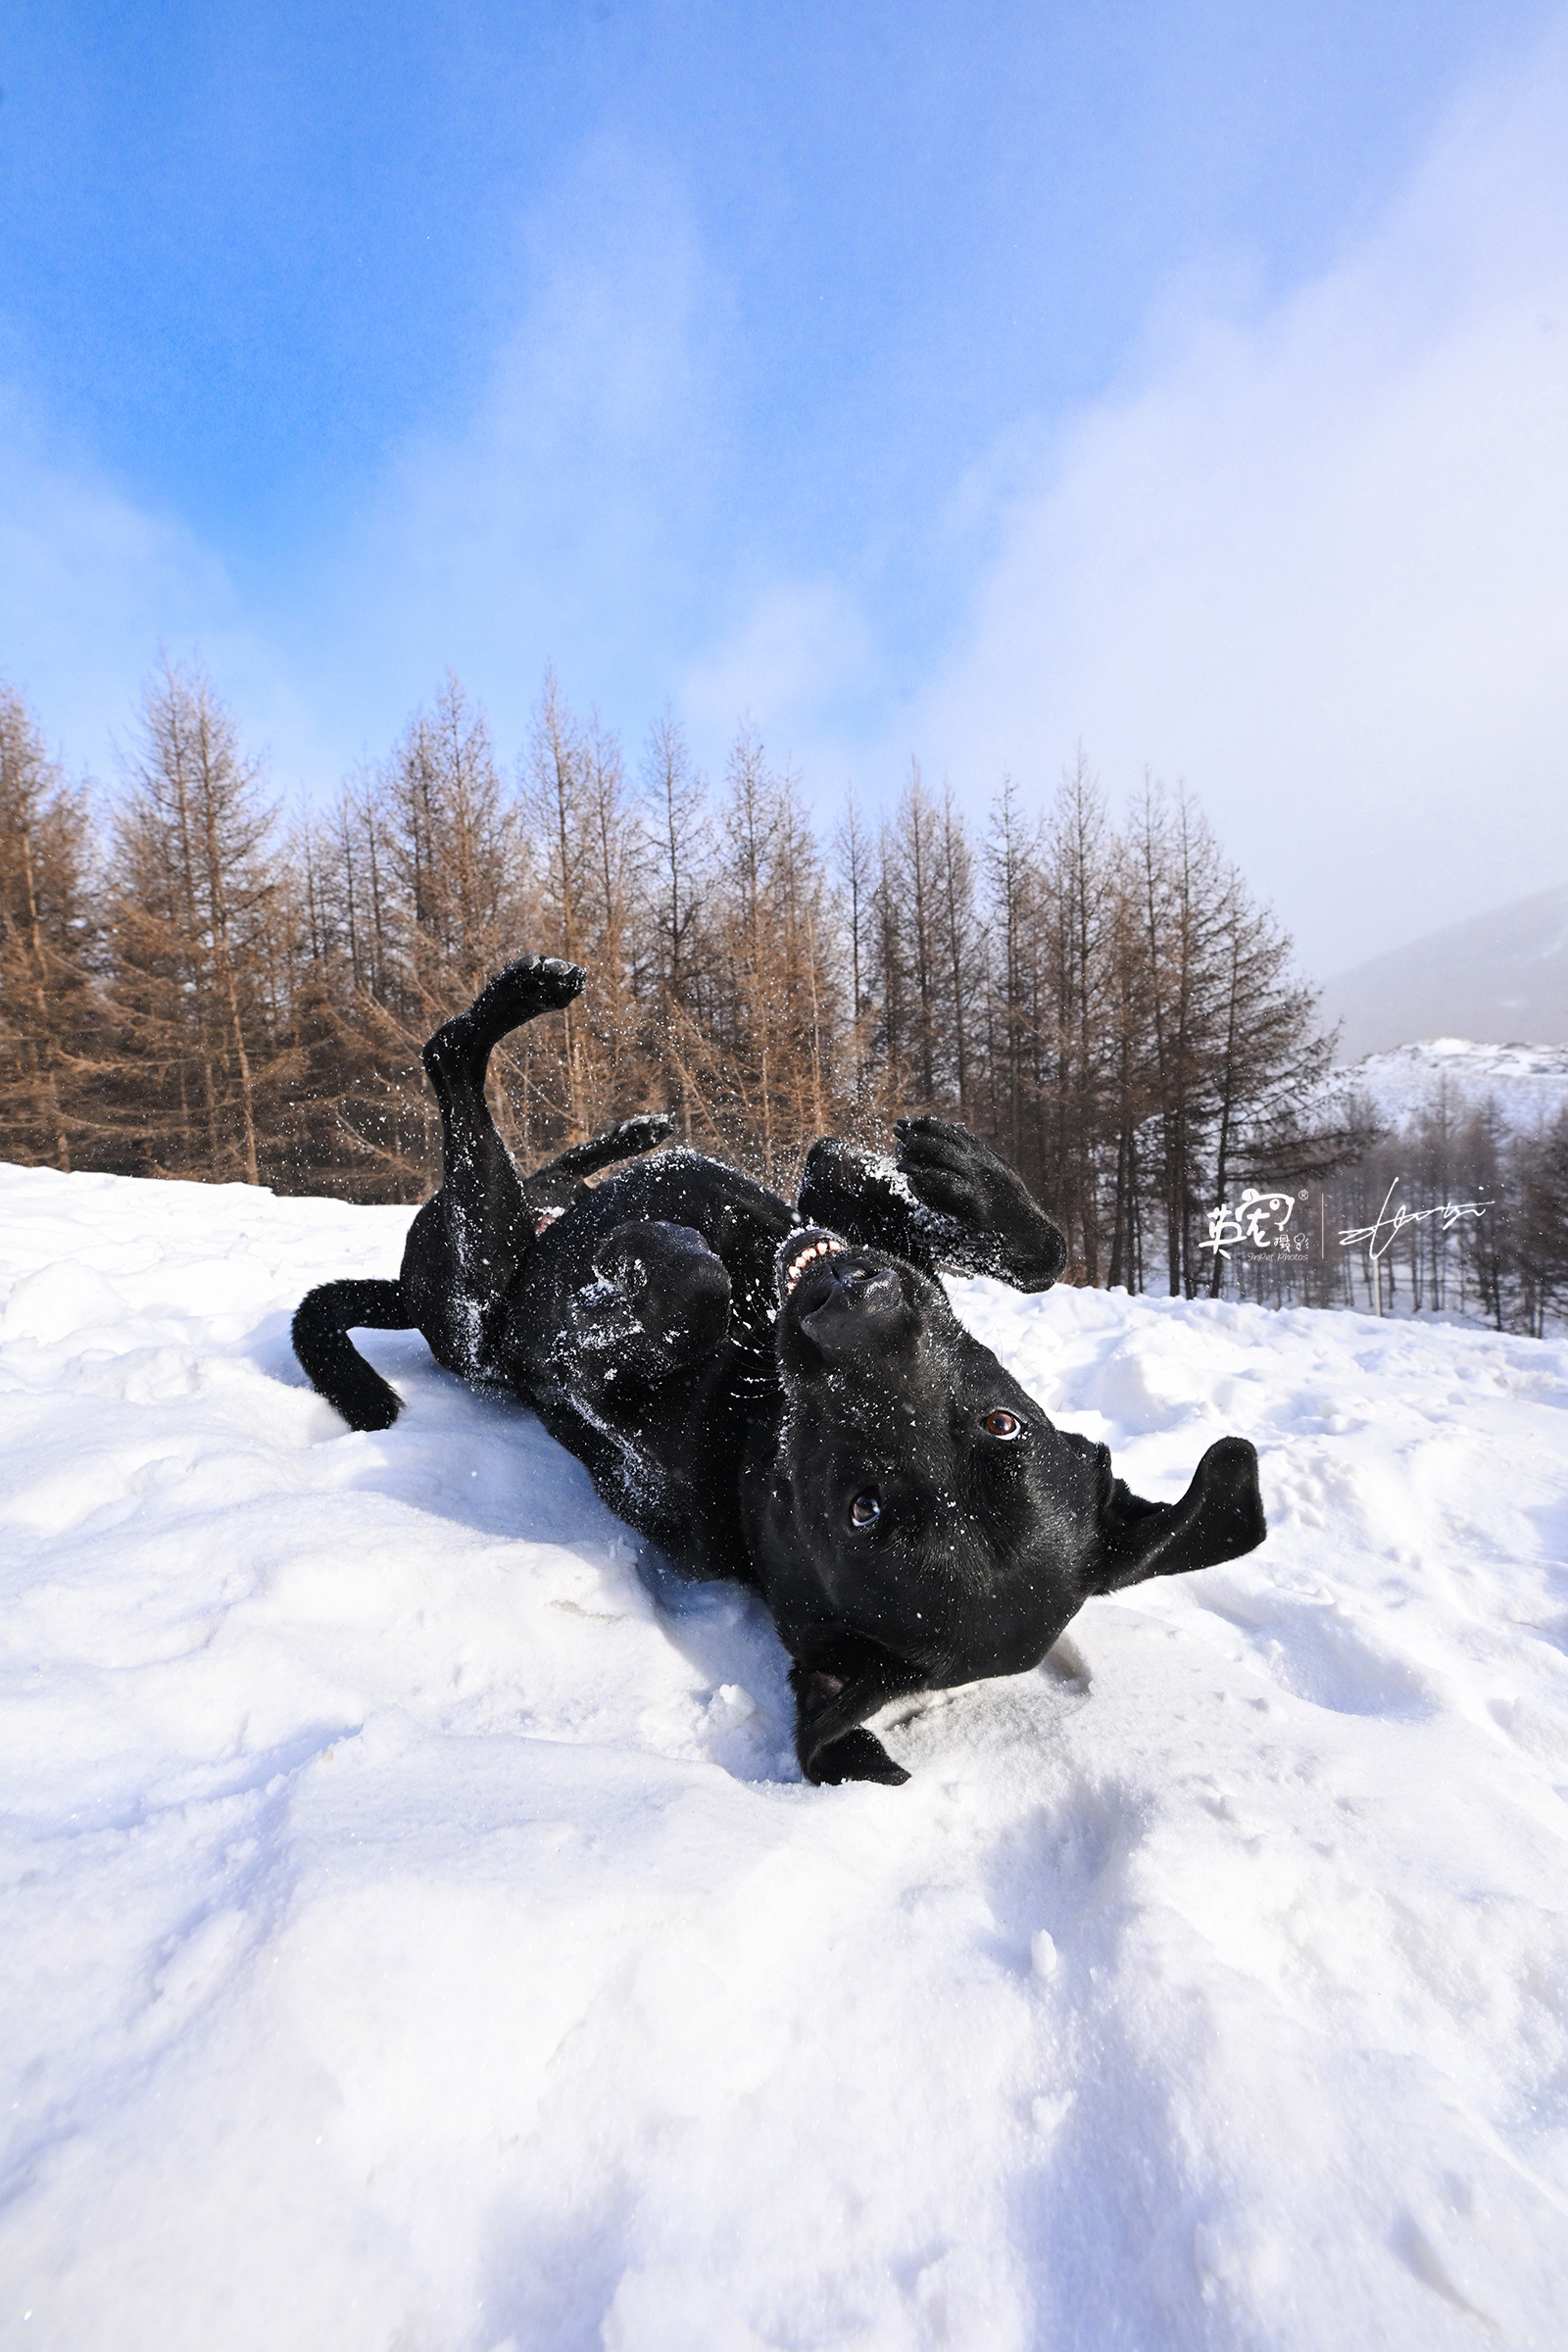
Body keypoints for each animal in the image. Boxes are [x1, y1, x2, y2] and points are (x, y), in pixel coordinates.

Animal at [301, 955, 1269, 1778]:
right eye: (1006, 1425)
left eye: (860, 1510)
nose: (848, 1304)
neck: (755, 1402)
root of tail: (401, 1289)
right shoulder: (856, 1227)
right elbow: (1035, 1249)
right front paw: (953, 1169)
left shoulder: (587, 1404)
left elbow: (664, 1299)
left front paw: (650, 1271)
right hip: (520, 1213)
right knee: (542, 1158)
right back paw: (630, 1122)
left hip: (479, 1265)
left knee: (452, 1069)